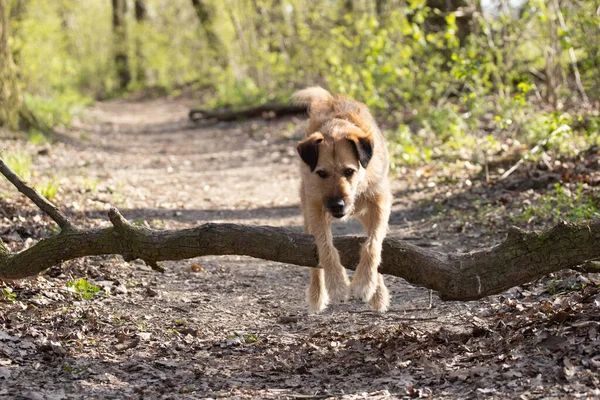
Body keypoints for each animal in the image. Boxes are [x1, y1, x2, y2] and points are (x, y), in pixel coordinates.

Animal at [292, 86, 392, 312]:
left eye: (349, 171)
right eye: (321, 173)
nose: (337, 205)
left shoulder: (380, 201)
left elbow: (373, 244)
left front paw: (365, 283)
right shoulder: (316, 207)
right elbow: (326, 247)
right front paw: (337, 285)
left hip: (366, 212)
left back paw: (378, 292)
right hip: (307, 212)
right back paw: (317, 293)